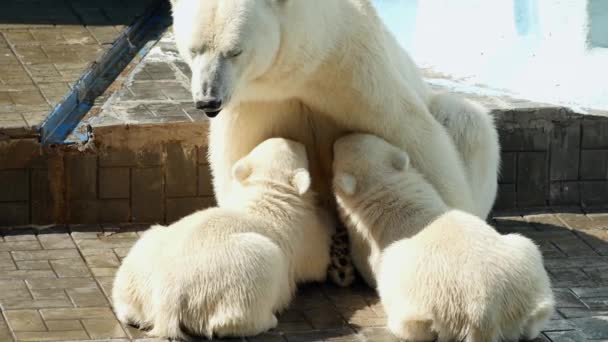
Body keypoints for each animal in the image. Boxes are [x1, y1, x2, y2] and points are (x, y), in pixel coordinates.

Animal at [113, 138, 332, 340]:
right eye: (299, 148)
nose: (298, 140)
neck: (267, 192)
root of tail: (169, 299)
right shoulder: (304, 233)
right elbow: (318, 262)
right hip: (240, 275)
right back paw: (268, 320)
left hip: (140, 270)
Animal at [170, 0, 498, 284]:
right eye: (194, 49)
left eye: (234, 51)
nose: (207, 99)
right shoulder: (258, 100)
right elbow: (241, 158)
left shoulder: (353, 68)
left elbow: (416, 138)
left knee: (467, 120)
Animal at [332, 134, 556, 342]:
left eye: (336, 150)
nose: (340, 138)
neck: (397, 197)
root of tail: (483, 315)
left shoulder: (373, 247)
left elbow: (368, 268)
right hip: (524, 284)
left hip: (424, 304)